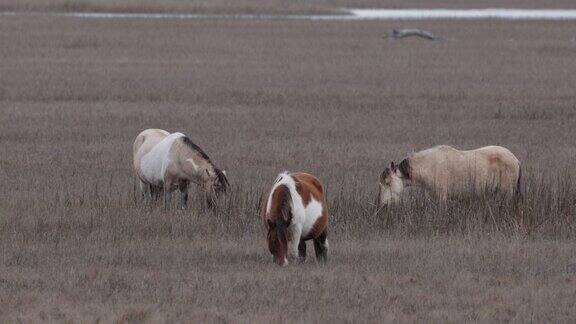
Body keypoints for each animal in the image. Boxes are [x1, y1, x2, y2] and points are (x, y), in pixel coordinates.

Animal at [378, 144, 520, 208]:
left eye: (388, 182)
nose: (383, 205)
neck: (430, 166)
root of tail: (515, 159)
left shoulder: (442, 197)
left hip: (506, 193)